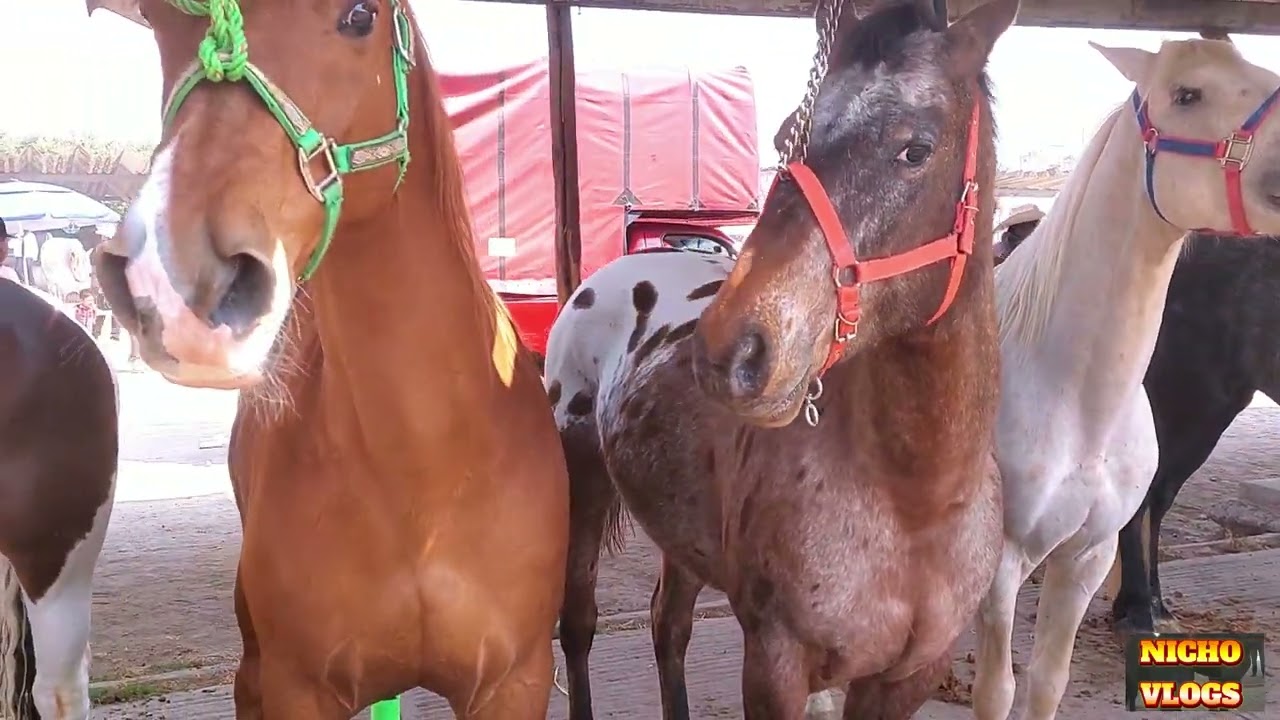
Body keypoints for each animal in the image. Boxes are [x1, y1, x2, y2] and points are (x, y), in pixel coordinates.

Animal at [88, 0, 568, 716]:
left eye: (360, 16)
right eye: (159, 23)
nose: (170, 280)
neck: (422, 467)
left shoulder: (516, 680)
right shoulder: (299, 685)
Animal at [544, 0, 1015, 717]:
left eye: (916, 149)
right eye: (786, 137)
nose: (728, 352)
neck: (917, 507)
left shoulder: (906, 678)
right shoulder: (775, 665)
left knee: (667, 625)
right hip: (584, 477)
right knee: (578, 624)